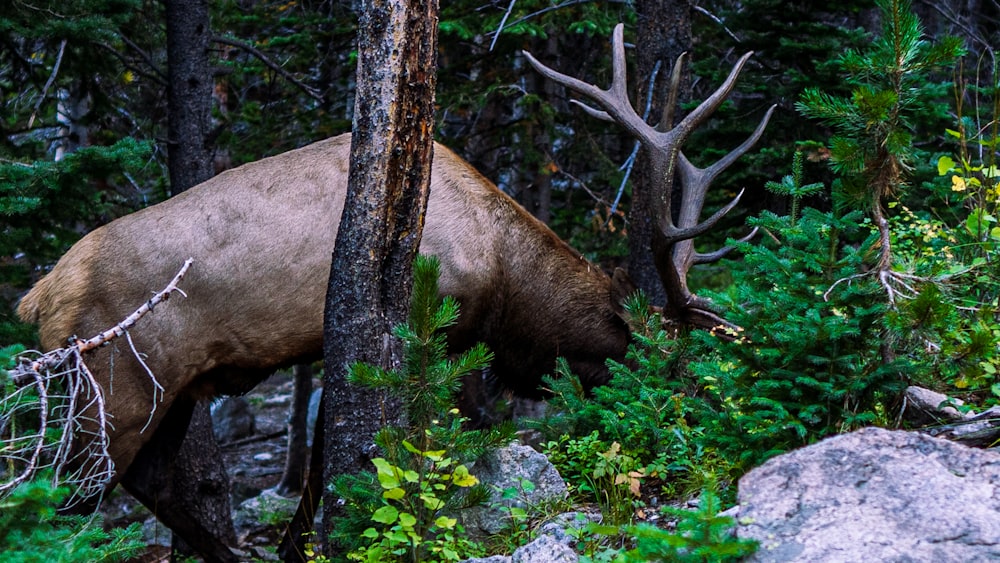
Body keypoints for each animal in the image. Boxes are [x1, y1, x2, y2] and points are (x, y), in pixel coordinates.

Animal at [13, 23, 772, 563]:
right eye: (670, 366)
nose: (701, 434)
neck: (505, 275)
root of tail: (36, 298)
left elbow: (331, 458)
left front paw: (298, 547)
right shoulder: (433, 329)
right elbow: (437, 439)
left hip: (166, 394)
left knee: (150, 485)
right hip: (112, 391)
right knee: (63, 498)